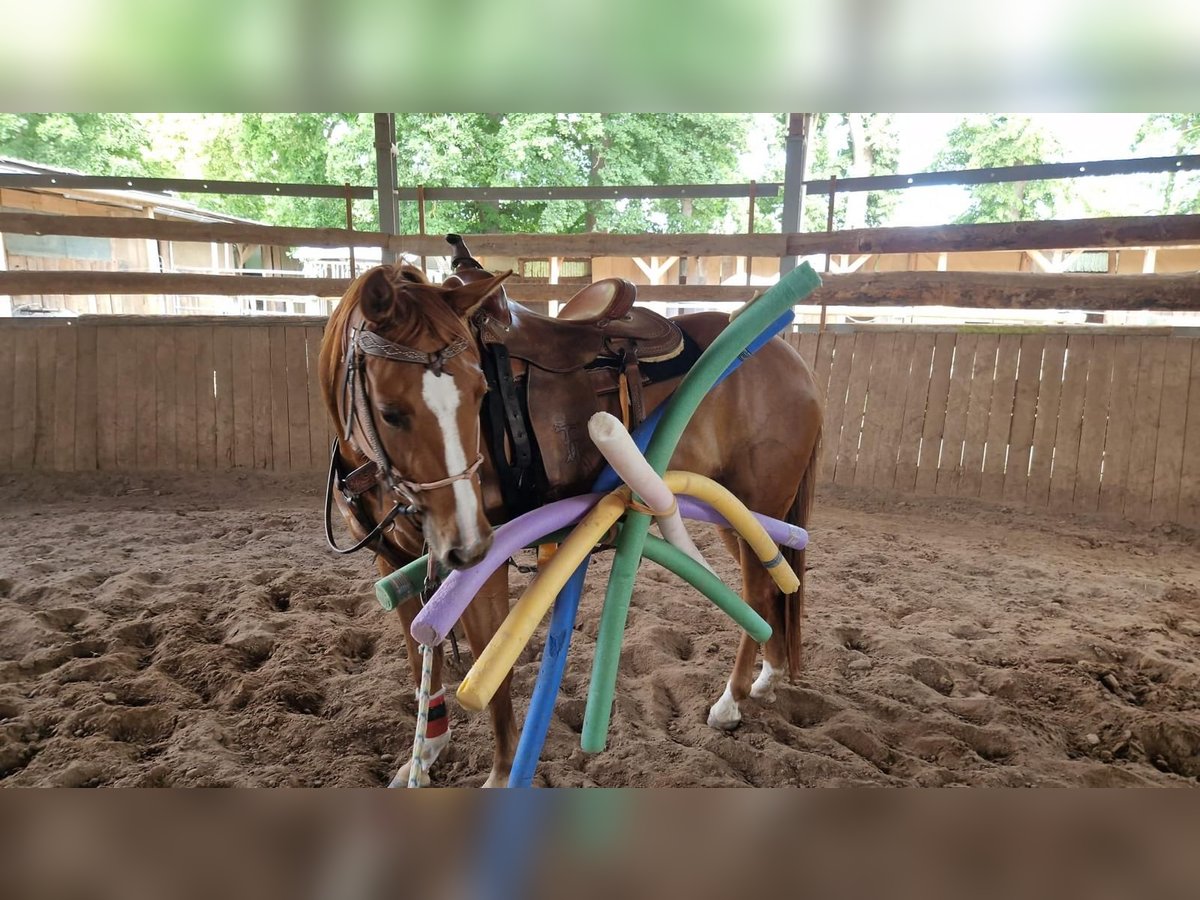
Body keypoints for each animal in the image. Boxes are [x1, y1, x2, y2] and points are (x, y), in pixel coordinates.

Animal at [318, 252, 822, 787]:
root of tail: (794, 362)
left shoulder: (485, 567)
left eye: (480, 392)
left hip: (754, 504)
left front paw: (502, 773)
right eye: (391, 412)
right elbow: (420, 665)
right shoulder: (392, 563)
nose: (468, 544)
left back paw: (731, 700)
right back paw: (768, 677)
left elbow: (493, 667)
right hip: (741, 518)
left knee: (758, 591)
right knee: (772, 585)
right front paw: (426, 752)